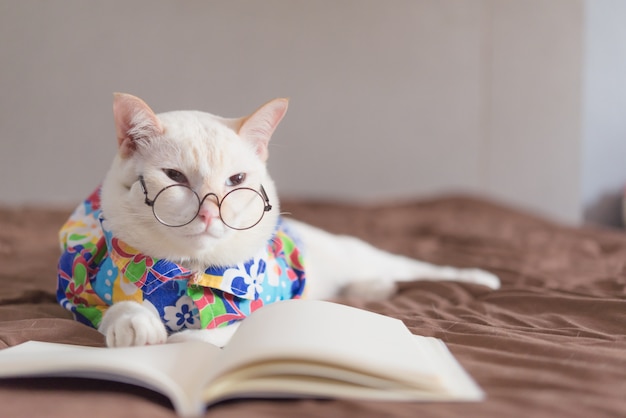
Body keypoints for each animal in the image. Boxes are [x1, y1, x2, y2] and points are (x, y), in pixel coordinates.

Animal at [57, 94, 498, 350]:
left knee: (422, 269)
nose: (209, 211)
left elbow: (208, 334)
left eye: (236, 181)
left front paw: (185, 338)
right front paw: (137, 325)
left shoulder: (255, 311)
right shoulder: (85, 300)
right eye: (175, 177)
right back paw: (370, 289)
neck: (188, 271)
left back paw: (483, 279)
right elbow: (119, 308)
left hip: (369, 256)